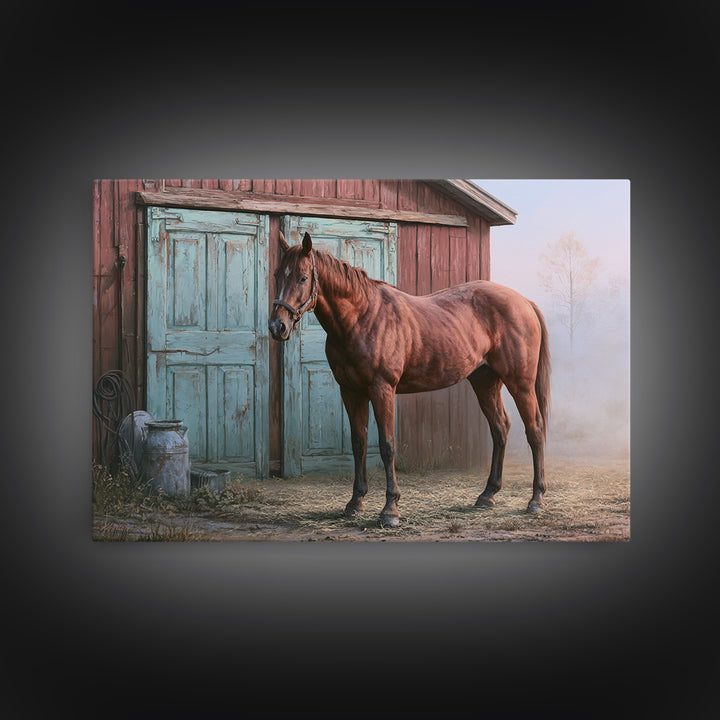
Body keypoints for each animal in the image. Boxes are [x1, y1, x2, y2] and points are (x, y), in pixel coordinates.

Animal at [269, 231, 550, 528]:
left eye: (302, 277)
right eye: (277, 274)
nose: (277, 326)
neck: (361, 317)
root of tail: (525, 302)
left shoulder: (382, 390)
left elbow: (387, 446)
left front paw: (390, 509)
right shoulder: (350, 391)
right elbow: (358, 444)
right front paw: (355, 503)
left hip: (520, 383)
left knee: (534, 430)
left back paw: (536, 499)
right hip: (485, 382)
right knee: (500, 428)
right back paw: (487, 495)